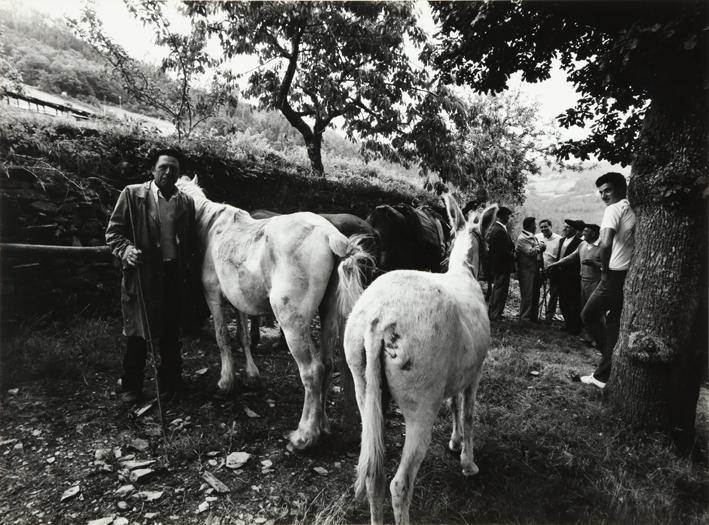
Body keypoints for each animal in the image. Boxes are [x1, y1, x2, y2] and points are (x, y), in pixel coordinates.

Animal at [176, 176, 370, 450]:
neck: (212, 226)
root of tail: (331, 237)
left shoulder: (213, 295)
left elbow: (222, 337)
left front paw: (226, 382)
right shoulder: (238, 301)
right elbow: (244, 337)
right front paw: (251, 375)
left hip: (292, 324)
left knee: (312, 371)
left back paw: (304, 436)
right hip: (329, 316)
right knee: (329, 365)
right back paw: (323, 426)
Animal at [346, 194, 496, 520]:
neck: (463, 272)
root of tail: (379, 319)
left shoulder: (457, 372)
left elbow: (453, 405)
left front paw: (454, 442)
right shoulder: (475, 372)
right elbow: (468, 413)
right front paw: (468, 462)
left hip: (363, 385)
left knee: (373, 475)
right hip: (421, 401)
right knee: (399, 485)